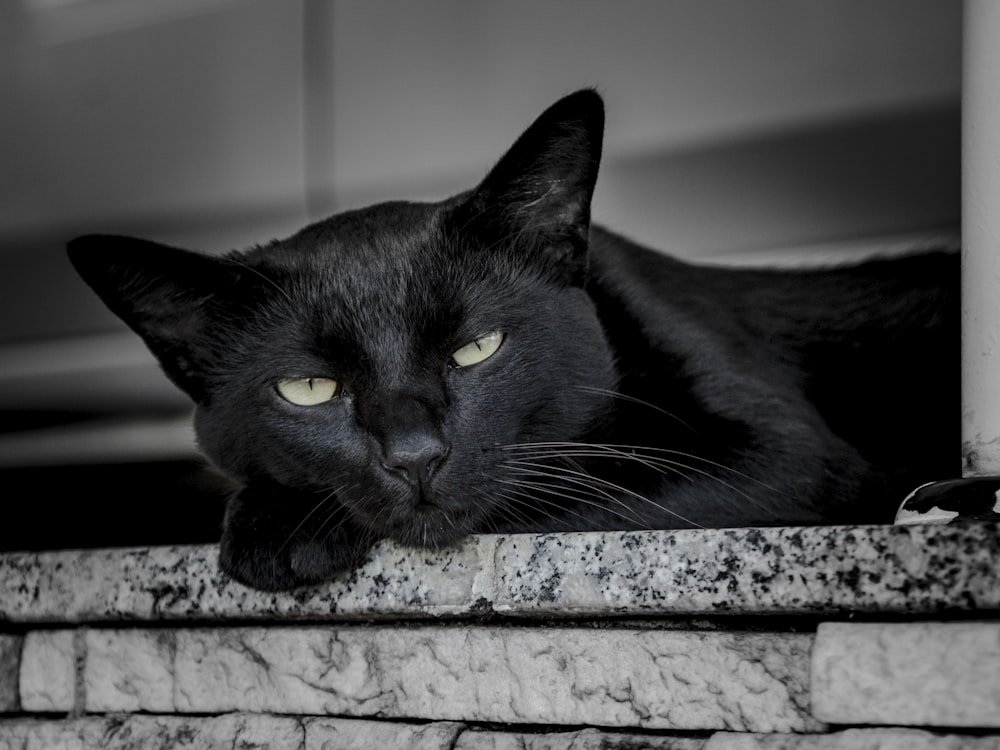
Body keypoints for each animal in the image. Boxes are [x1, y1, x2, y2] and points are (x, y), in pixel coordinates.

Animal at [70, 89, 960, 592]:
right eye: (309, 389)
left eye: (477, 348)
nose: (415, 456)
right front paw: (271, 521)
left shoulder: (786, 455)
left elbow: (555, 496)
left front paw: (287, 535)